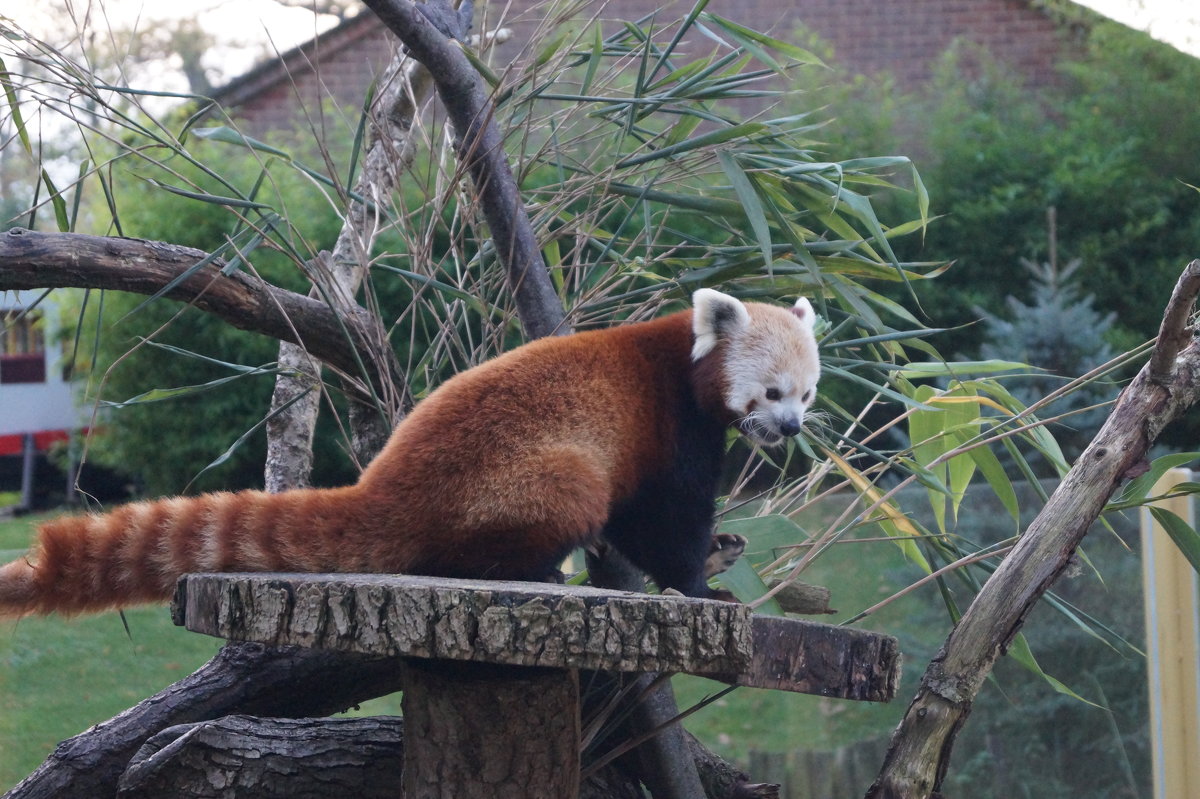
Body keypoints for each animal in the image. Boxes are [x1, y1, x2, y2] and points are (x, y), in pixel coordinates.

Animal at [0, 287, 820, 614]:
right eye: (771, 392)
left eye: (807, 395)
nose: (791, 430)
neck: (684, 357)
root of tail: (386, 483)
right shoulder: (665, 425)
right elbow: (660, 518)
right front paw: (701, 584)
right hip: (530, 475)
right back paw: (533, 568)